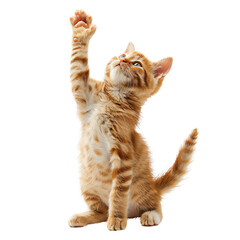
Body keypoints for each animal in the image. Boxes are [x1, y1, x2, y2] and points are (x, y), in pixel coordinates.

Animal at [68, 9, 199, 231]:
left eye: (136, 64)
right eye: (122, 55)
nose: (121, 60)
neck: (112, 98)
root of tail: (153, 185)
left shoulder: (123, 152)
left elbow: (118, 192)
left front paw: (117, 218)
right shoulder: (84, 94)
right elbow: (78, 66)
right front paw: (82, 29)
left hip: (142, 189)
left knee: (155, 203)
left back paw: (149, 215)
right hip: (86, 184)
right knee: (101, 212)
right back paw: (84, 216)